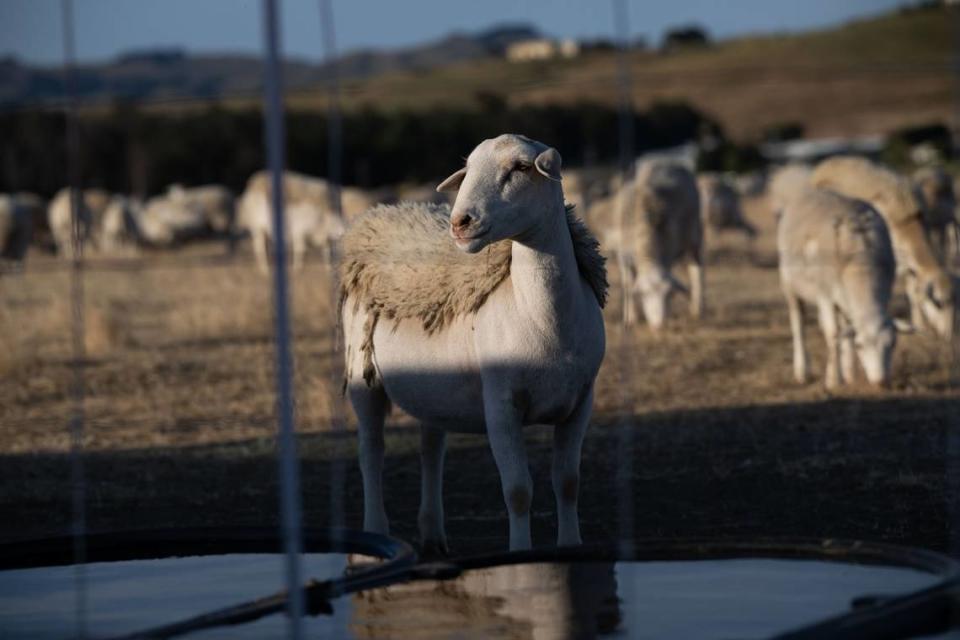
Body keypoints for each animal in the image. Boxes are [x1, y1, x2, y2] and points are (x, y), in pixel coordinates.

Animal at [340, 134, 608, 552]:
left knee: (431, 449)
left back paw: (433, 535)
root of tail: (381, 214)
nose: (460, 222)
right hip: (362, 376)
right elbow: (518, 491)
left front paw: (571, 547)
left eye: (520, 167)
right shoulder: (500, 404)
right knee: (372, 452)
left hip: (431, 386)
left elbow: (568, 483)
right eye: (467, 170)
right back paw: (377, 534)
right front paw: (520, 554)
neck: (544, 320)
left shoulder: (581, 401)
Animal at [612, 158, 700, 328]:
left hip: (695, 233)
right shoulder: (624, 256)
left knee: (697, 270)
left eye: (670, 295)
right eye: (644, 294)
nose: (661, 324)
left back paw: (699, 309)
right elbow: (628, 284)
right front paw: (631, 317)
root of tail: (662, 160)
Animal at [780, 182, 900, 388]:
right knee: (798, 325)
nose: (881, 382)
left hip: (843, 300)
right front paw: (834, 380)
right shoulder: (825, 296)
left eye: (892, 344)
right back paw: (802, 371)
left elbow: (847, 333)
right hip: (790, 285)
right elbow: (833, 334)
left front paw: (849, 376)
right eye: (861, 346)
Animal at [808, 157, 952, 338]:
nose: (949, 334)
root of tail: (825, 165)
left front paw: (920, 325)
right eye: (938, 303)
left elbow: (913, 291)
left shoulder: (908, 264)